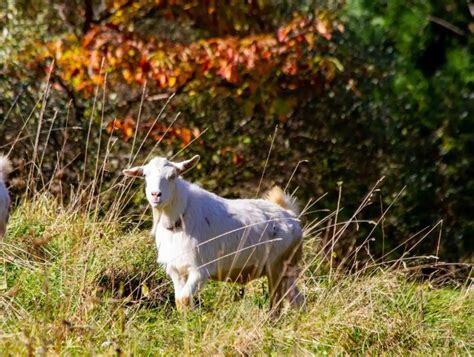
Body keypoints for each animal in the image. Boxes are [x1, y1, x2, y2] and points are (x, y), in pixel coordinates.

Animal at [124, 154, 304, 310]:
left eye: (173, 176)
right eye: (145, 175)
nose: (156, 195)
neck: (180, 217)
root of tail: (291, 216)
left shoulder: (199, 270)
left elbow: (184, 299)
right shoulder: (175, 270)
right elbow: (179, 300)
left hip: (277, 267)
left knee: (278, 303)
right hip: (286, 271)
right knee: (297, 299)